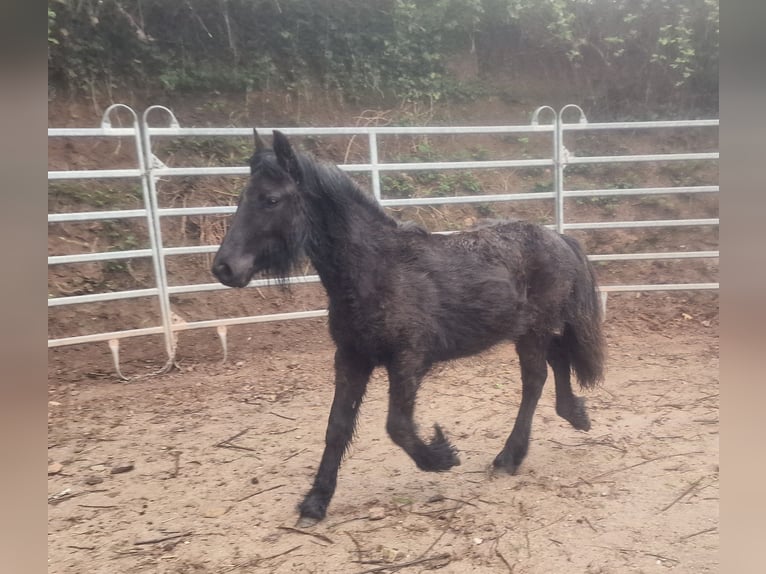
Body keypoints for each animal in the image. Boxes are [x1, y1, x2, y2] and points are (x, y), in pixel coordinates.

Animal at [212, 129, 606, 526]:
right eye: (243, 198)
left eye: (271, 199)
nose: (224, 267)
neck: (377, 270)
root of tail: (559, 237)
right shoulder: (351, 357)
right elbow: (337, 427)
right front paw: (315, 502)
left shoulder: (409, 359)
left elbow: (397, 426)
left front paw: (441, 455)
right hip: (533, 330)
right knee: (558, 362)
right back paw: (574, 415)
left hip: (534, 331)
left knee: (535, 380)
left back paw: (508, 457)